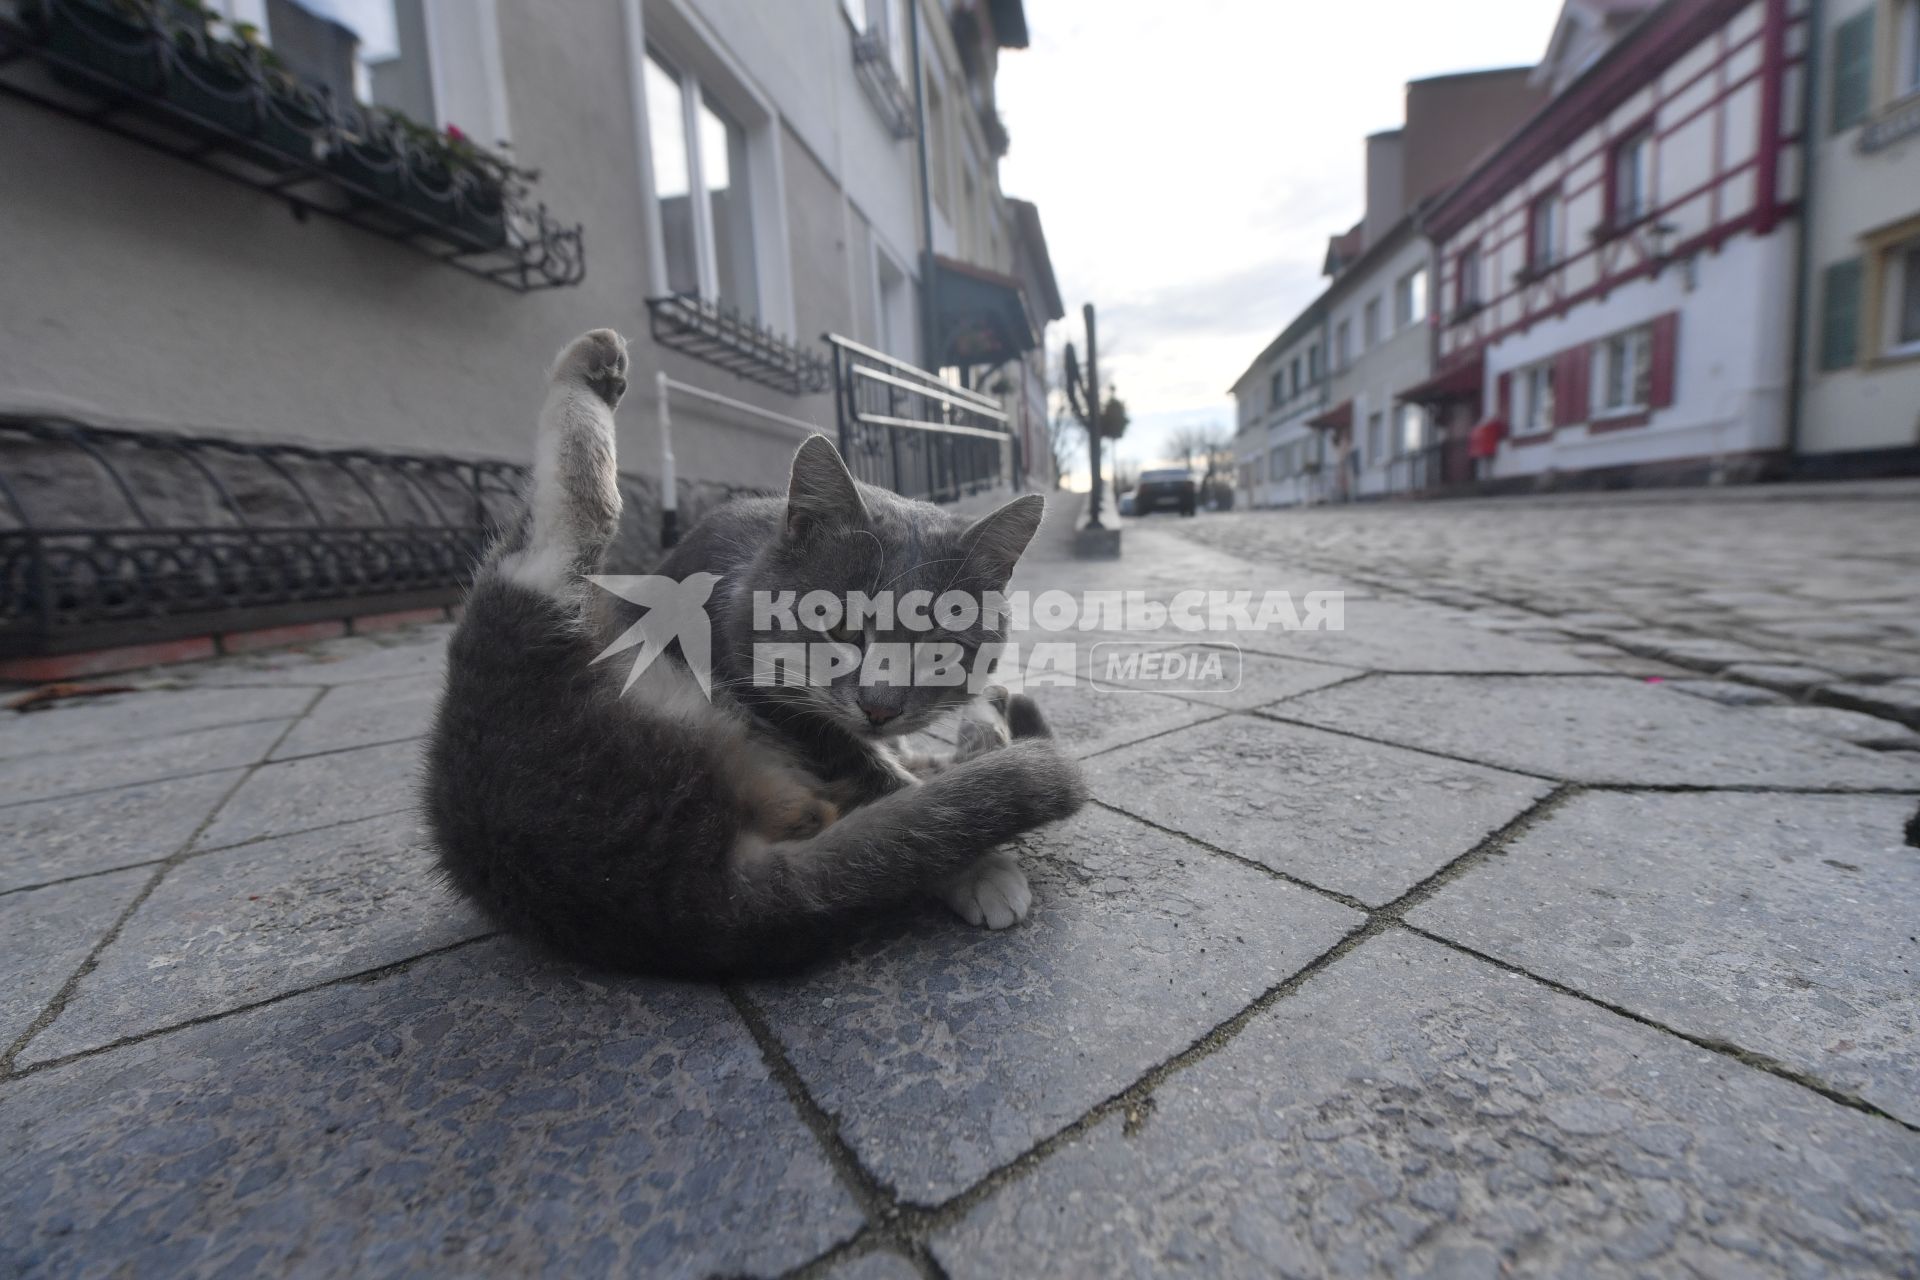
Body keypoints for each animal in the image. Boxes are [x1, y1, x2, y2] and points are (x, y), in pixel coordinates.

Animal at [422, 330, 1090, 982]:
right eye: (837, 626)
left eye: (938, 649)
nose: (879, 709)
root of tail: (674, 895)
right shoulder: (778, 705)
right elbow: (879, 774)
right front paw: (981, 866)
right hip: (532, 606)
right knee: (576, 512)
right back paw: (594, 360)